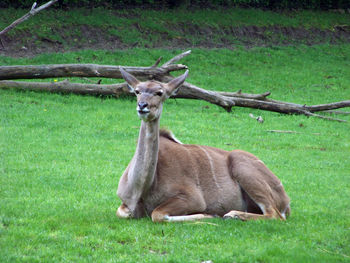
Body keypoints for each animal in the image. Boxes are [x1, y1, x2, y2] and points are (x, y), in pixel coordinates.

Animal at [116, 68, 292, 223]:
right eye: (137, 91)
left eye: (160, 93)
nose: (142, 106)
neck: (142, 188)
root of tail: (287, 202)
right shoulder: (125, 204)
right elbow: (123, 213)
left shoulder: (193, 198)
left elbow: (157, 214)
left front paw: (210, 215)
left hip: (244, 169)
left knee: (275, 215)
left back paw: (232, 215)